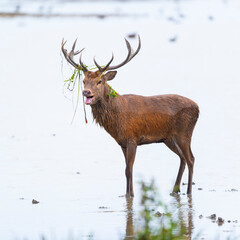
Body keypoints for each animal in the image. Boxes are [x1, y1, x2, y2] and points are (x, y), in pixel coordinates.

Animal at [61, 36, 199, 197]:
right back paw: (174, 190)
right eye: (83, 81)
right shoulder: (122, 142)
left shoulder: (132, 138)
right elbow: (127, 169)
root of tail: (198, 107)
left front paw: (130, 195)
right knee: (182, 158)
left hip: (185, 132)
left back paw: (188, 191)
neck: (118, 118)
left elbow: (129, 169)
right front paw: (127, 193)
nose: (86, 92)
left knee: (191, 159)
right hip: (168, 138)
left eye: (99, 81)